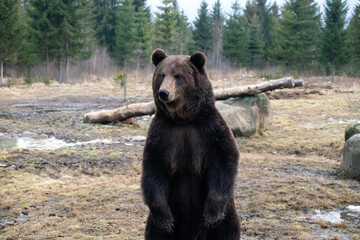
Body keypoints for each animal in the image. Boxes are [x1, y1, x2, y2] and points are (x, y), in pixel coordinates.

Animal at [142, 49, 240, 240]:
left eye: (178, 76)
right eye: (161, 74)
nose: (164, 92)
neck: (183, 120)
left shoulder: (210, 130)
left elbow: (224, 160)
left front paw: (211, 216)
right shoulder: (162, 135)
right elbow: (153, 169)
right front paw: (166, 222)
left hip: (228, 212)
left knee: (227, 230)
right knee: (154, 232)